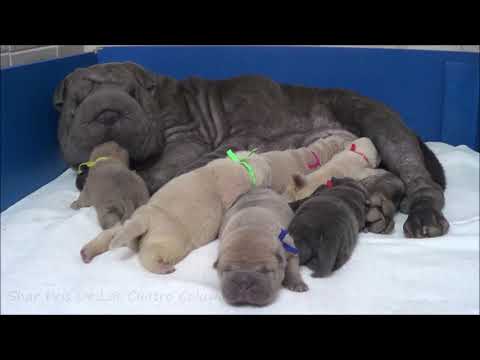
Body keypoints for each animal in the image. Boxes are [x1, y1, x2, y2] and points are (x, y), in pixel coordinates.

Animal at [54, 61, 448, 239]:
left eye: (132, 95)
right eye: (77, 101)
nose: (108, 109)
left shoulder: (185, 142)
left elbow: (160, 171)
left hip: (377, 121)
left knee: (419, 179)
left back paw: (423, 216)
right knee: (388, 178)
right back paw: (378, 206)